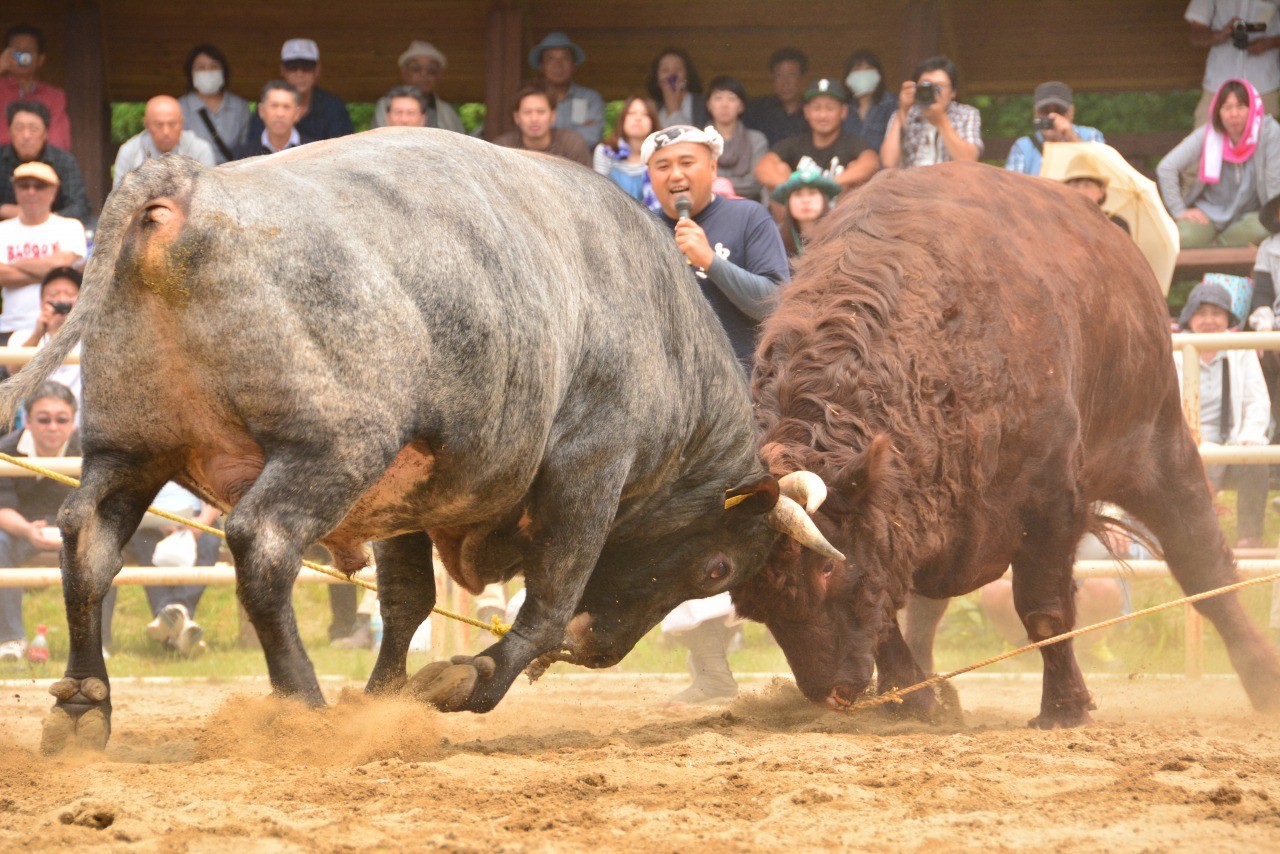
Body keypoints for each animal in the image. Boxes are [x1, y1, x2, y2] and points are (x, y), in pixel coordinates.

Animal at [0, 128, 842, 752]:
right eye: (716, 567)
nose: (599, 649)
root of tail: (190, 189)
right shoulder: (590, 470)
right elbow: (544, 603)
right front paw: (468, 681)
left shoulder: (407, 493)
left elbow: (407, 599)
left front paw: (384, 699)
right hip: (331, 450)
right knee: (262, 545)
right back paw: (302, 705)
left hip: (128, 451)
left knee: (88, 545)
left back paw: (83, 704)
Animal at [732, 162, 1280, 728]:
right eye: (755, 602)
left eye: (824, 567)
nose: (829, 692)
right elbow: (889, 615)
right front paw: (916, 701)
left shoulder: (1050, 505)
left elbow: (1043, 612)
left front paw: (1064, 708)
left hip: (1159, 448)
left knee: (1203, 567)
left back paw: (1263, 679)